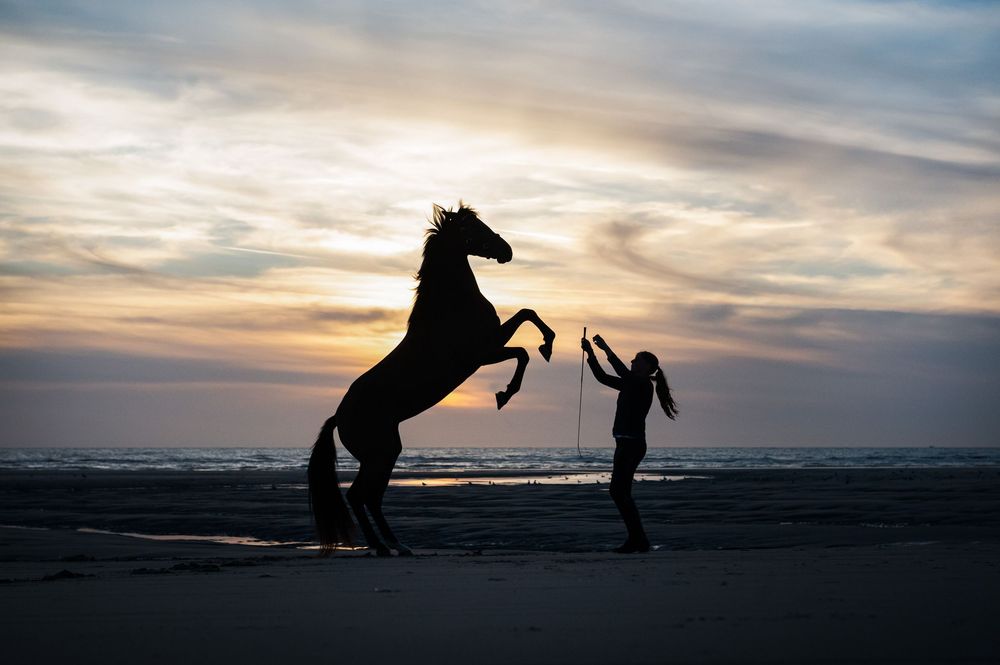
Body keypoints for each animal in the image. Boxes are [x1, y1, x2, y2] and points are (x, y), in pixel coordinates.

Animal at [308, 203, 555, 555]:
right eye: (474, 228)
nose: (506, 250)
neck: (450, 307)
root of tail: (338, 417)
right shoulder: (483, 352)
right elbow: (524, 344)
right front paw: (508, 391)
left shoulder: (488, 350)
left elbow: (526, 317)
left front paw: (544, 347)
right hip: (380, 453)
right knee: (360, 495)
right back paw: (383, 547)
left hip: (385, 452)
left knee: (371, 497)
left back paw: (398, 546)